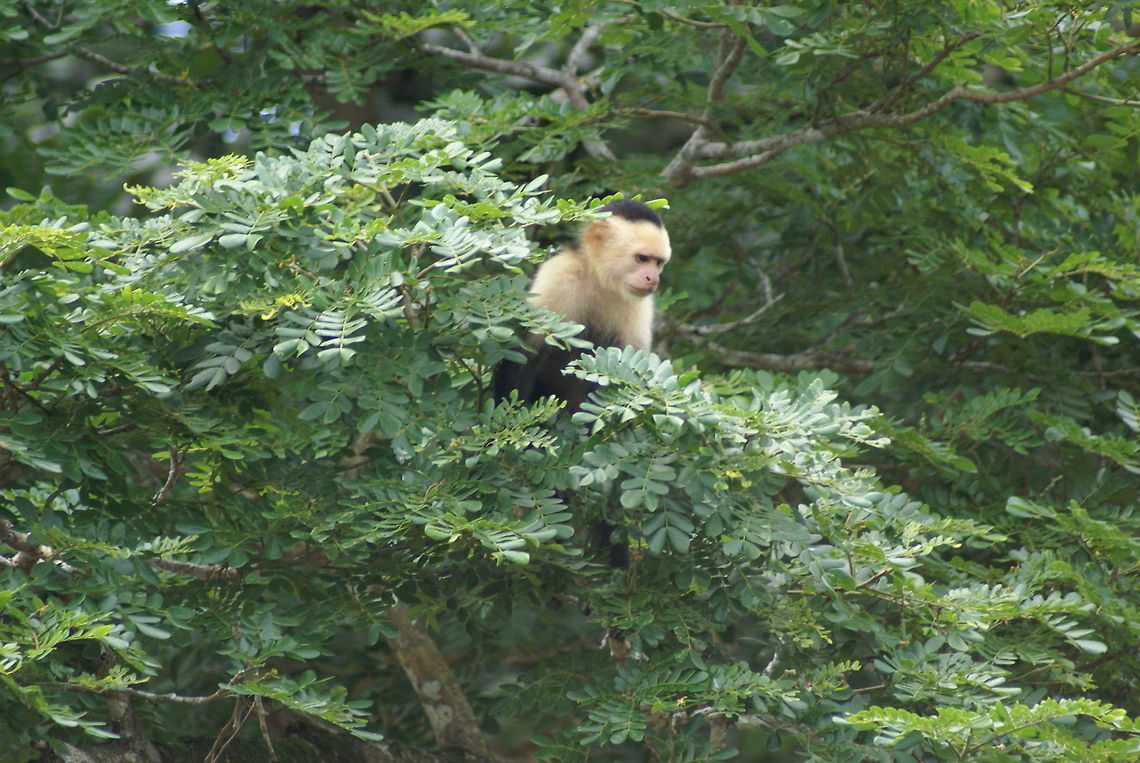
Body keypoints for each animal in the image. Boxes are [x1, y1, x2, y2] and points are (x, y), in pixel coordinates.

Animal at [493, 200, 671, 412]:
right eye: (642, 258)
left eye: (658, 262)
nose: (653, 279)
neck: (599, 279)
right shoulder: (559, 275)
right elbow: (527, 352)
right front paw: (511, 412)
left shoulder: (638, 303)